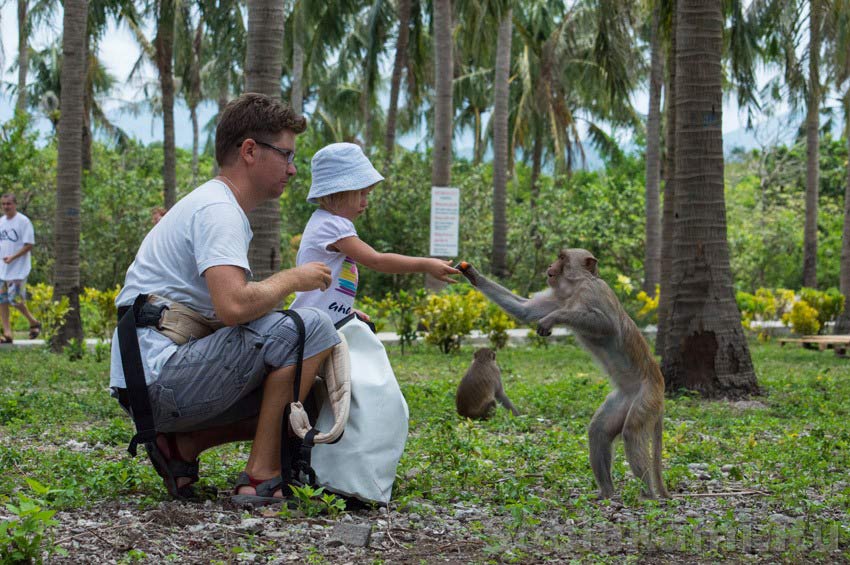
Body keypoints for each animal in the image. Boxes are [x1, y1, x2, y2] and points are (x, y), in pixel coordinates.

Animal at [454, 248, 664, 498]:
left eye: (562, 258)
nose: (550, 266)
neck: (575, 288)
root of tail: (659, 385)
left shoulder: (592, 292)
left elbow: (606, 324)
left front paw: (553, 318)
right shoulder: (559, 297)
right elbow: (525, 310)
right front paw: (471, 273)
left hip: (647, 397)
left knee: (632, 433)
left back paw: (647, 496)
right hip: (625, 399)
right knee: (598, 432)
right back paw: (607, 493)